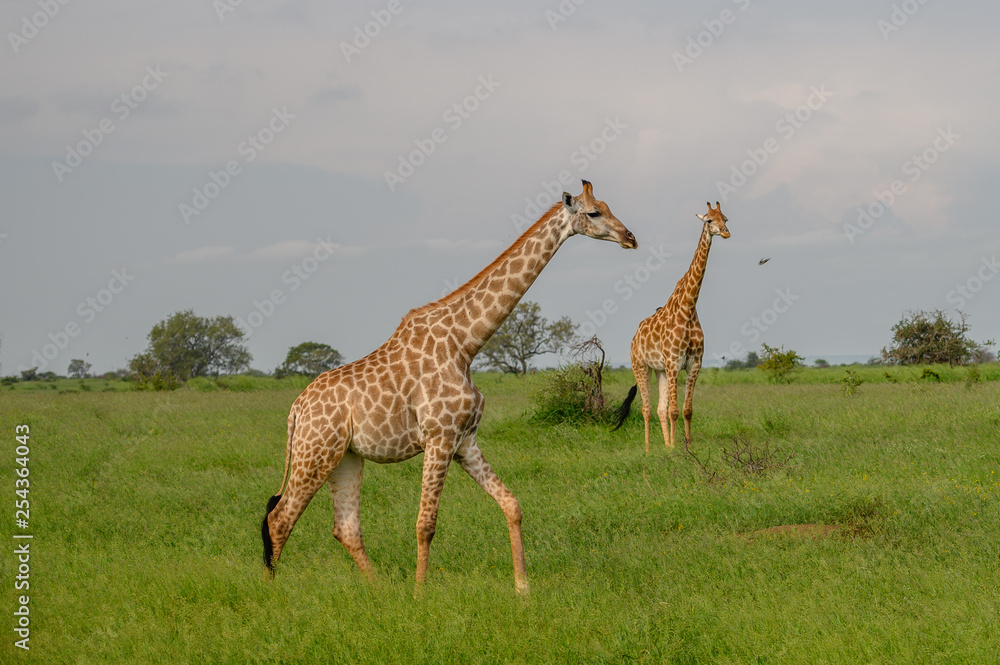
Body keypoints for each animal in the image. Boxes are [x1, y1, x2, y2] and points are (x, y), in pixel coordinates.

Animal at [261, 180, 637, 594]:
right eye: (594, 213)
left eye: (608, 206)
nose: (630, 238)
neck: (465, 344)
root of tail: (296, 409)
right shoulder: (439, 437)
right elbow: (425, 524)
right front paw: (420, 594)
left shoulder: (464, 440)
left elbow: (512, 504)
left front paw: (522, 588)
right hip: (315, 452)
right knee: (280, 518)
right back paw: (271, 590)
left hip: (345, 457)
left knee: (344, 528)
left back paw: (380, 590)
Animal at [613, 201, 730, 451]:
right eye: (709, 220)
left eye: (726, 218)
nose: (726, 233)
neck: (688, 309)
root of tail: (634, 337)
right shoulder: (674, 363)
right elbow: (674, 411)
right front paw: (677, 448)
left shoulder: (694, 363)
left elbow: (686, 410)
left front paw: (685, 445)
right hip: (641, 366)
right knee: (647, 409)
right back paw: (648, 449)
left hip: (660, 370)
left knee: (659, 409)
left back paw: (666, 445)